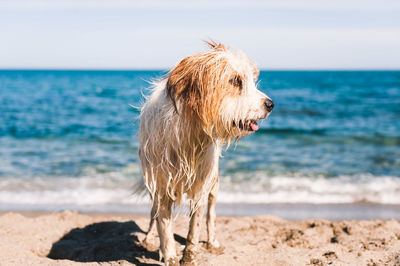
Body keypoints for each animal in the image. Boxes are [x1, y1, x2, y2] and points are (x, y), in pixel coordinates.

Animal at [138, 41, 276, 264]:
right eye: (236, 81)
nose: (271, 105)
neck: (189, 132)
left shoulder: (201, 185)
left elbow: (194, 228)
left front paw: (189, 257)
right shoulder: (160, 185)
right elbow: (164, 226)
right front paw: (169, 256)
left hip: (214, 184)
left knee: (211, 215)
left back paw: (212, 242)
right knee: (153, 214)